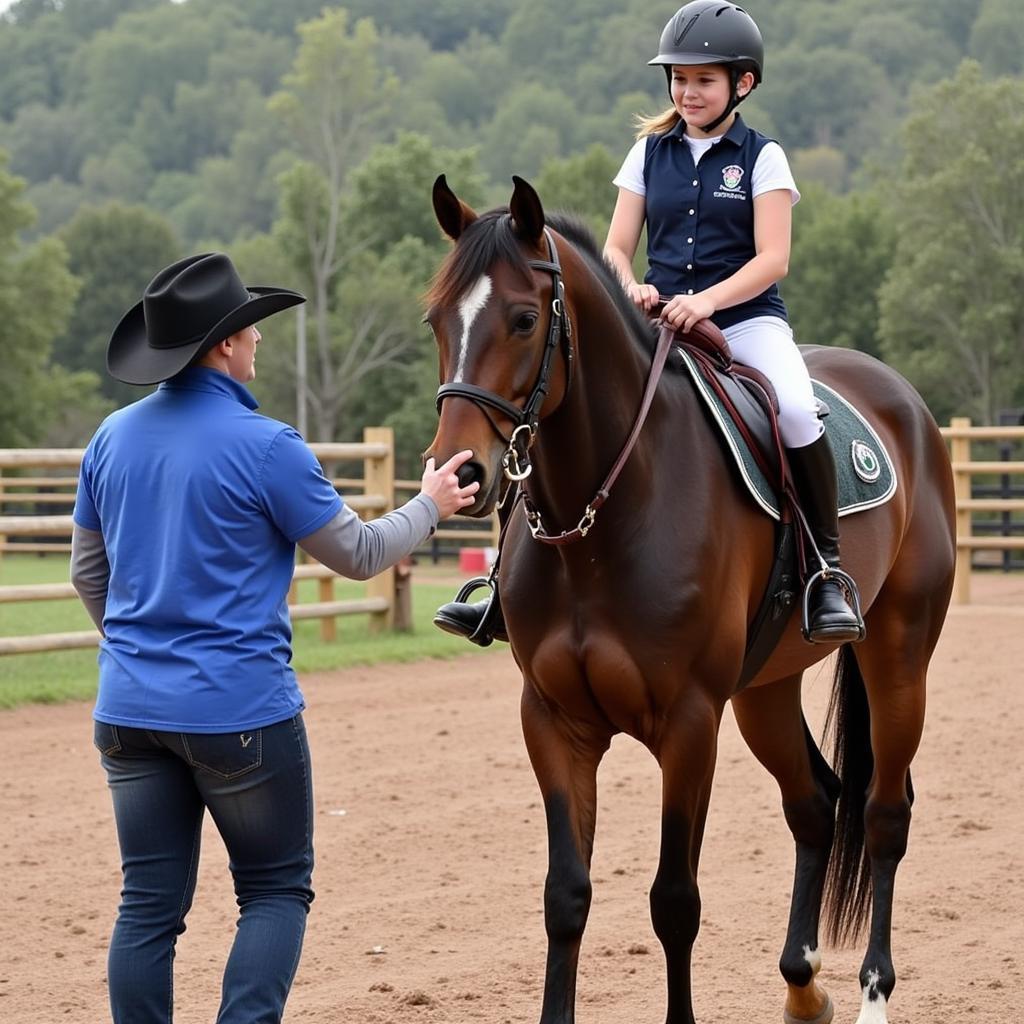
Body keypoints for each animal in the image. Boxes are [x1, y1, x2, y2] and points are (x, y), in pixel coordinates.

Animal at [421, 176, 950, 1024]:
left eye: (525, 318)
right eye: (437, 318)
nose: (459, 473)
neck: (603, 522)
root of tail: (904, 403)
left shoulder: (690, 724)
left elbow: (675, 901)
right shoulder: (554, 721)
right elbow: (565, 897)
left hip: (899, 660)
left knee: (882, 814)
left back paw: (873, 993)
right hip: (765, 690)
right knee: (815, 803)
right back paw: (804, 987)